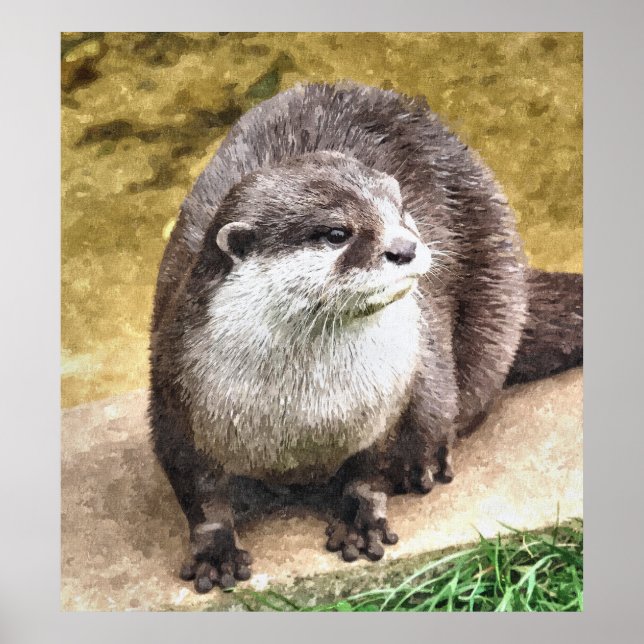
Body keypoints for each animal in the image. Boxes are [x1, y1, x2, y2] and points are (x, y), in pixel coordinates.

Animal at [149, 82, 583, 593]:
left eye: (402, 212)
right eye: (337, 233)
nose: (405, 247)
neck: (305, 417)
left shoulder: (394, 396)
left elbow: (372, 469)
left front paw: (361, 521)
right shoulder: (175, 391)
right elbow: (199, 492)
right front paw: (215, 551)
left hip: (494, 292)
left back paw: (429, 462)